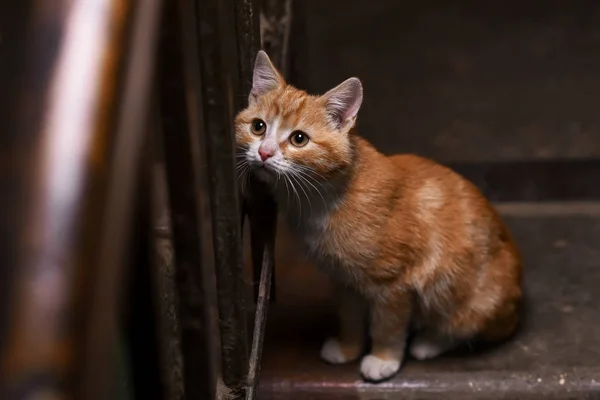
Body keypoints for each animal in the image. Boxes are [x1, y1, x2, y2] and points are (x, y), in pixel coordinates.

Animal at [233, 51, 520, 382]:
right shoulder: (343, 280)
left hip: (467, 296)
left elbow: (388, 325)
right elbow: (349, 317)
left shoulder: (394, 283)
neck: (323, 198)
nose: (264, 153)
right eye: (258, 127)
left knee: (464, 326)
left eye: (299, 139)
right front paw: (348, 348)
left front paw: (383, 359)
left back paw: (429, 341)